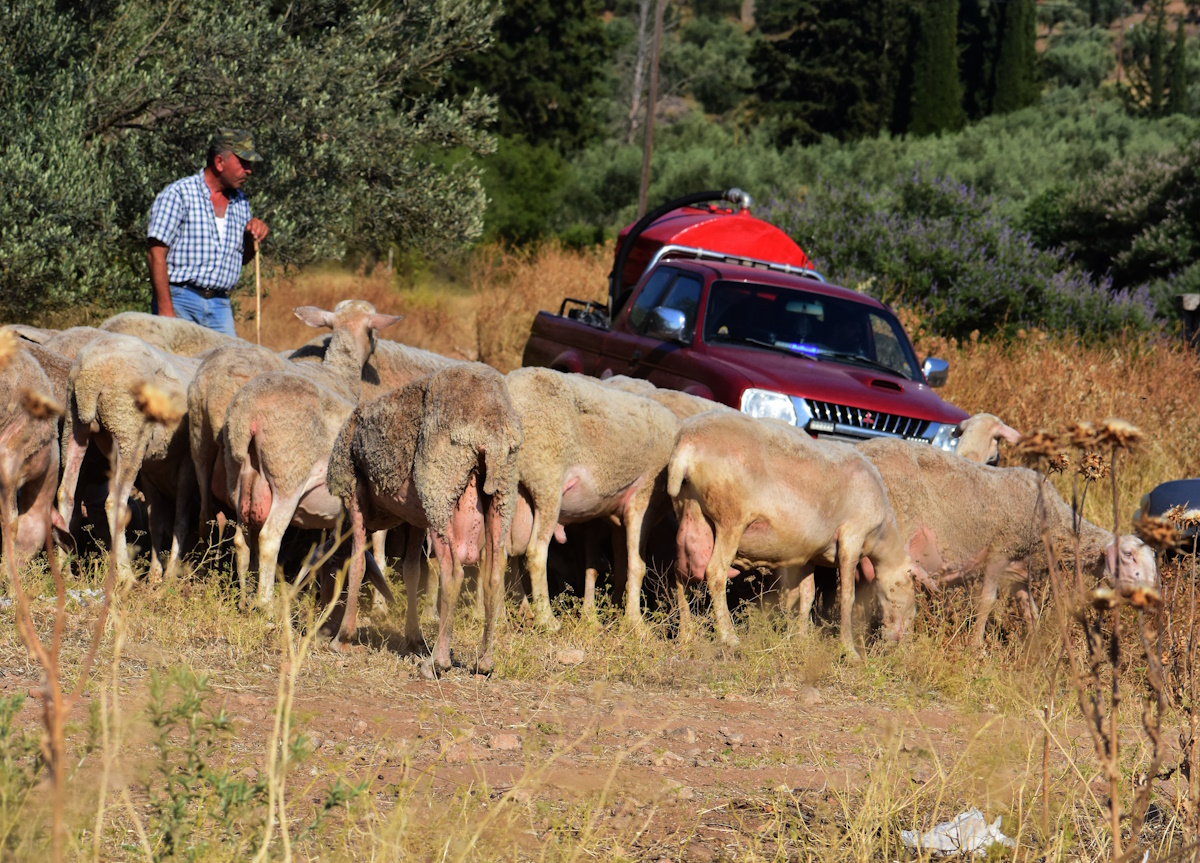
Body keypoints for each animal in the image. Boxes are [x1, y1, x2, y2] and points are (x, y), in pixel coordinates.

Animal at [218, 303, 400, 607]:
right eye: (373, 334)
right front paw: (379, 606)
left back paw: (244, 599)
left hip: (238, 477)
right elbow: (378, 551)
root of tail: (249, 412)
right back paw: (265, 604)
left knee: (242, 541)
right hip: (287, 475)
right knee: (269, 539)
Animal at [328, 362, 520, 667]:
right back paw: (484, 662)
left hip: (439, 490)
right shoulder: (416, 517)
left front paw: (342, 639)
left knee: (452, 572)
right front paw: (414, 639)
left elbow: (357, 564)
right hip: (500, 494)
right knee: (493, 575)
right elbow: (411, 572)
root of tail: (490, 429)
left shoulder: (353, 494)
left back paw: (437, 662)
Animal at [859, 439, 1156, 648]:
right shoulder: (1000, 550)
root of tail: (862, 447)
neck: (1051, 522)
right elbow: (987, 601)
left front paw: (1034, 651)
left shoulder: (1019, 573)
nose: (1151, 596)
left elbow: (1030, 612)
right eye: (1128, 555)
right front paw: (975, 646)